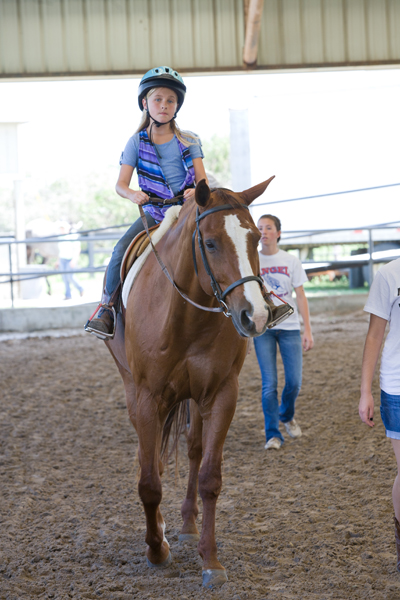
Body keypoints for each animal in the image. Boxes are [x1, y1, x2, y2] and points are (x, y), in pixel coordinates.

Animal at [106, 176, 276, 588]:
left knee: (194, 451)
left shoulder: (221, 394)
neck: (184, 316)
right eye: (210, 242)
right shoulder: (148, 398)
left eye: (255, 240)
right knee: (150, 458)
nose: (256, 315)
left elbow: (209, 478)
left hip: (194, 400)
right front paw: (156, 550)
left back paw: (186, 525)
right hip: (135, 392)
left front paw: (210, 560)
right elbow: (149, 480)